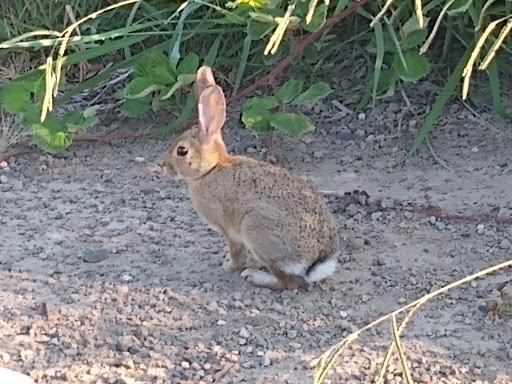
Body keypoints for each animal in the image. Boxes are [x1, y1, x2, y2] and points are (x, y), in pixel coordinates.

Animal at [163, 64, 340, 290]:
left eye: (182, 151)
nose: (165, 167)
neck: (210, 169)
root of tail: (317, 260)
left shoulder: (229, 230)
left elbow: (235, 250)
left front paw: (230, 265)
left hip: (254, 228)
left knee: (288, 282)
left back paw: (255, 276)